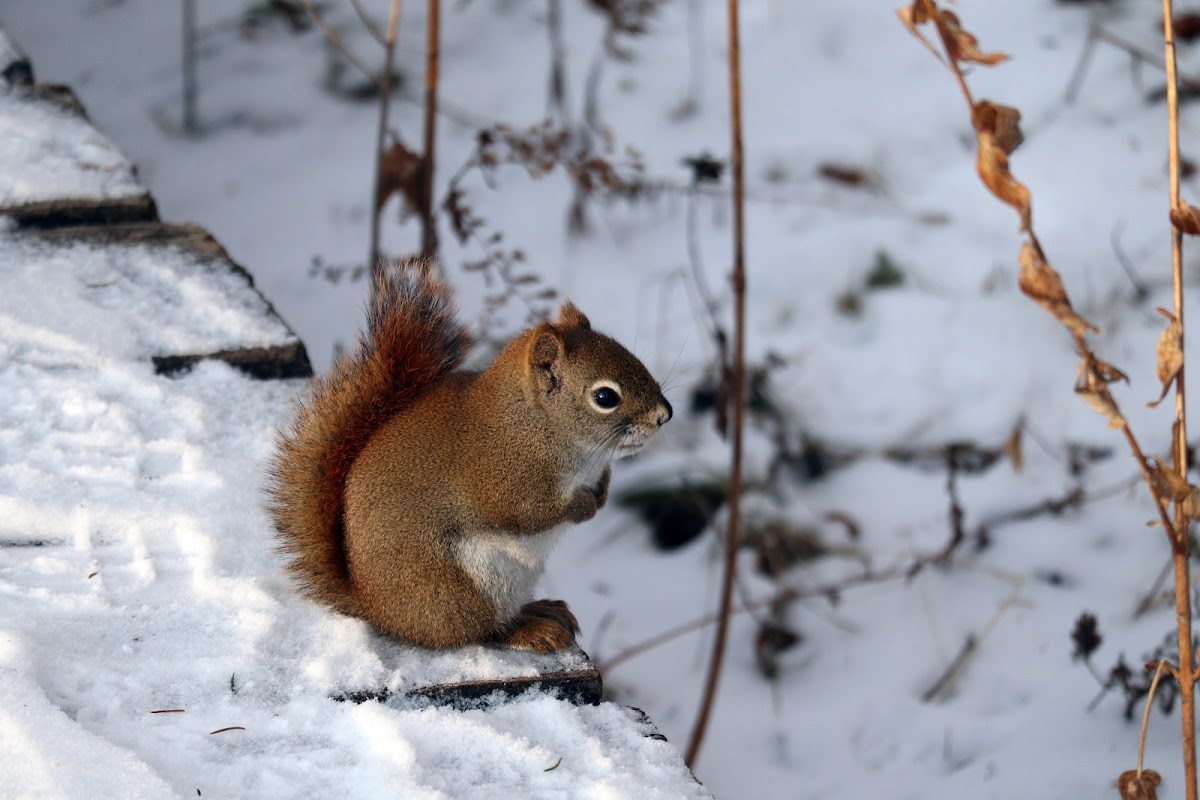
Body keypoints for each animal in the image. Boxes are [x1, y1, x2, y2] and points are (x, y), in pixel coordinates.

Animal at [266, 260, 672, 652]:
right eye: (605, 397)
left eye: (633, 358)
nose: (664, 415)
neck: (537, 424)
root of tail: (377, 609)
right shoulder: (503, 479)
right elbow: (529, 513)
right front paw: (585, 505)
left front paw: (603, 491)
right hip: (461, 587)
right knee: (478, 632)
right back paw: (527, 630)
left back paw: (540, 610)